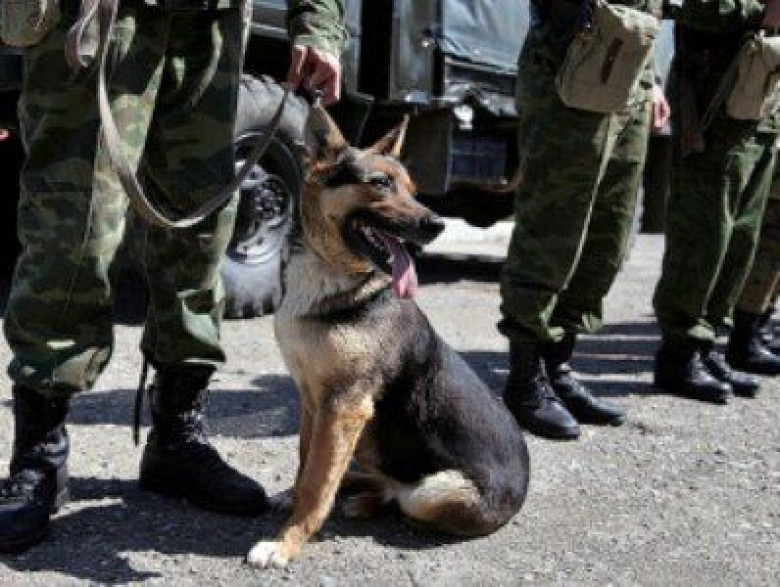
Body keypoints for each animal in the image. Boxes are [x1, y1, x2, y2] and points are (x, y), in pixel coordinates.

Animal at [246, 105, 530, 569]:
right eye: (379, 183)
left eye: (414, 191)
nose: (436, 225)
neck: (329, 271)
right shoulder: (313, 400)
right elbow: (307, 464)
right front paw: (292, 500)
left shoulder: (344, 407)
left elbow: (317, 485)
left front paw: (285, 542)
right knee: (377, 480)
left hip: (430, 490)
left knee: (401, 497)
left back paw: (365, 500)